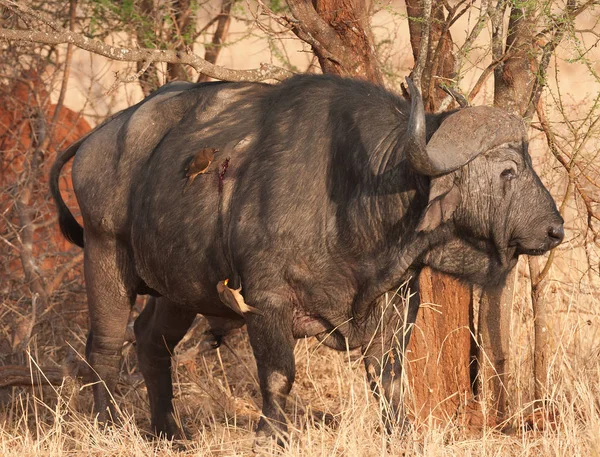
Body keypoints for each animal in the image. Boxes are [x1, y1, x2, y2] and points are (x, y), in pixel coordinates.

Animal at [50, 75, 564, 442]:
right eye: (508, 170)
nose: (555, 230)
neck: (355, 198)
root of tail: (100, 137)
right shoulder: (265, 300)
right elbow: (279, 374)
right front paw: (271, 435)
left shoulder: (397, 303)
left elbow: (389, 378)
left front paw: (400, 433)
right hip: (104, 255)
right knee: (104, 348)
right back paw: (106, 427)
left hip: (178, 290)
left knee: (150, 340)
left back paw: (169, 433)